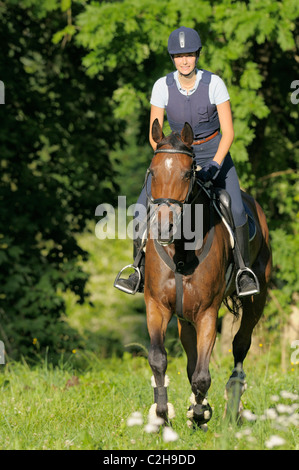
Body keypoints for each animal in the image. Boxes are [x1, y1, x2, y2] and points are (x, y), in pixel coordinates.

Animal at [144, 119, 274, 428]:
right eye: (153, 172)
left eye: (186, 174)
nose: (163, 228)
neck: (181, 250)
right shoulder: (157, 305)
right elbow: (159, 359)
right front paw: (162, 415)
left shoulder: (207, 313)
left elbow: (203, 376)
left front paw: (200, 414)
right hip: (184, 317)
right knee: (192, 359)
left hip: (256, 300)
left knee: (240, 346)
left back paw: (231, 408)